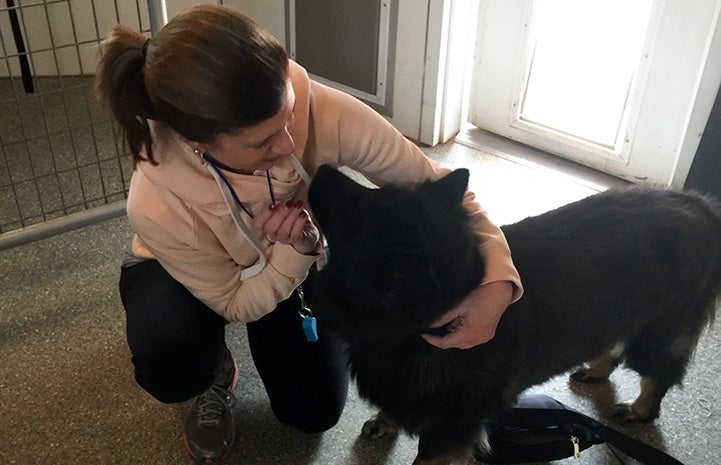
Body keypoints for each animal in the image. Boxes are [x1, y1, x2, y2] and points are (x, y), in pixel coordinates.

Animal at [306, 165, 720, 462]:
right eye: (376, 193)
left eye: (361, 210)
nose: (322, 166)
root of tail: (701, 206)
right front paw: (385, 422)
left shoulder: (450, 430)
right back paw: (596, 370)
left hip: (661, 332)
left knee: (657, 376)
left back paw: (639, 409)